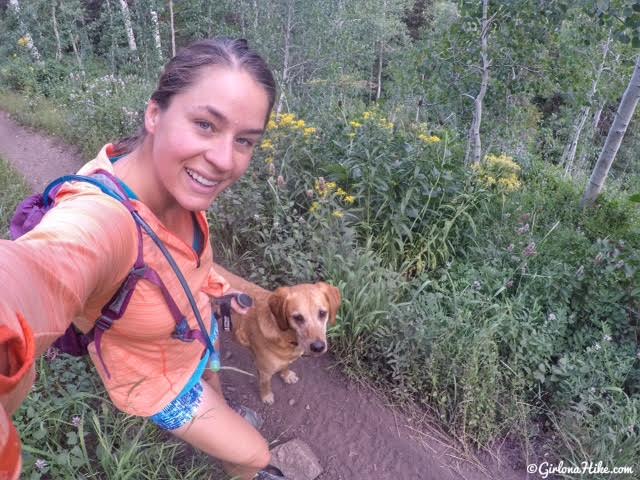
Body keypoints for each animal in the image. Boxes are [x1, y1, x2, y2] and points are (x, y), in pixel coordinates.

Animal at [212, 264, 340, 404]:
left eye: (322, 313)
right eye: (298, 318)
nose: (318, 347)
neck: (286, 337)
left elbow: (286, 365)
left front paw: (286, 375)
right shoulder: (265, 372)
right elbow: (265, 384)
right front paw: (266, 396)